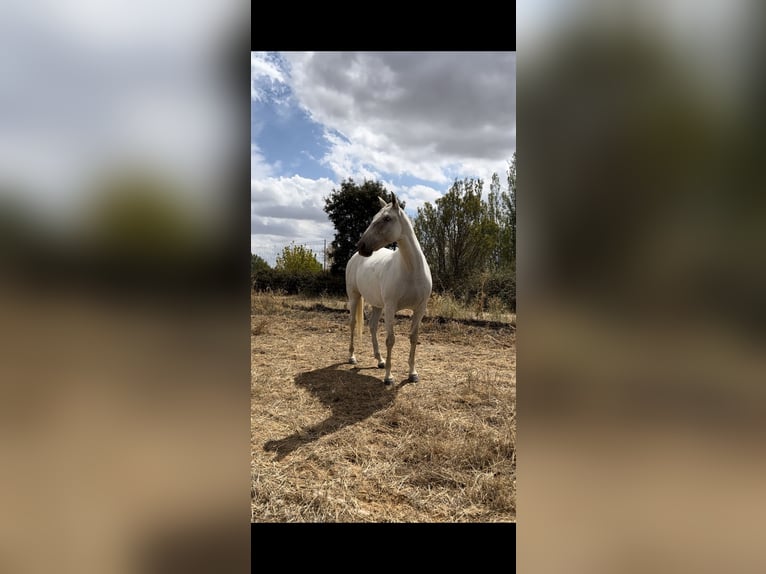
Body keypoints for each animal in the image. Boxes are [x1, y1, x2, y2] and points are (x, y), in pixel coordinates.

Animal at [346, 194, 432, 388]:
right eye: (373, 218)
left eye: (386, 218)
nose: (361, 246)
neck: (410, 269)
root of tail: (354, 258)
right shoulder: (391, 307)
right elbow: (390, 340)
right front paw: (388, 377)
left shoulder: (420, 308)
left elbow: (413, 337)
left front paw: (412, 374)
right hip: (354, 297)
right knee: (353, 324)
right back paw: (352, 357)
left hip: (378, 305)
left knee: (372, 326)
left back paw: (380, 360)